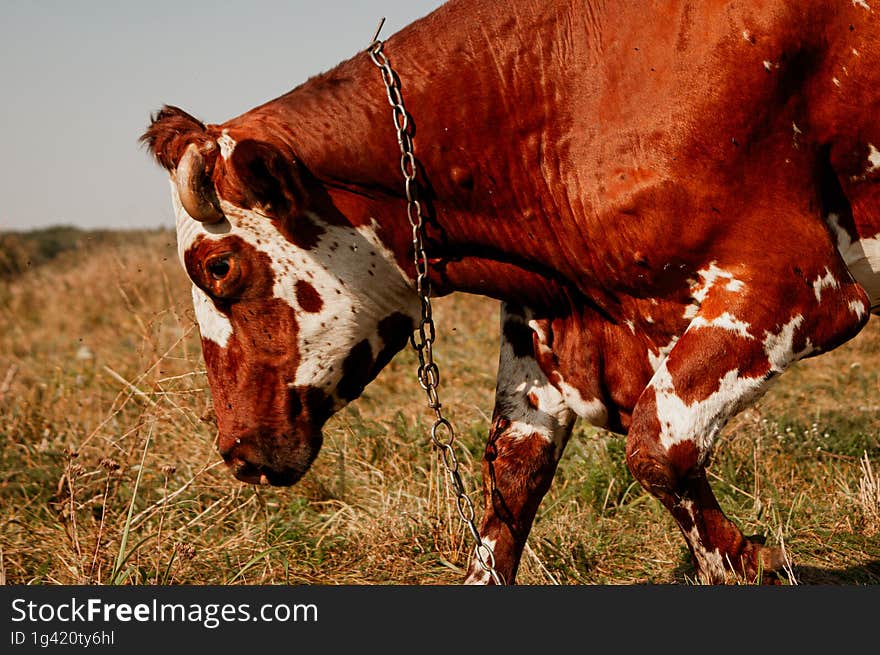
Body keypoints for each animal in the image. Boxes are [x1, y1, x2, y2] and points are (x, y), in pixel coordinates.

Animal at [139, 0, 880, 584]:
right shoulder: (542, 317)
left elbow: (657, 444)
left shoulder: (795, 284)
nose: (235, 449)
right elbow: (515, 464)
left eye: (219, 267)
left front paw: (758, 563)